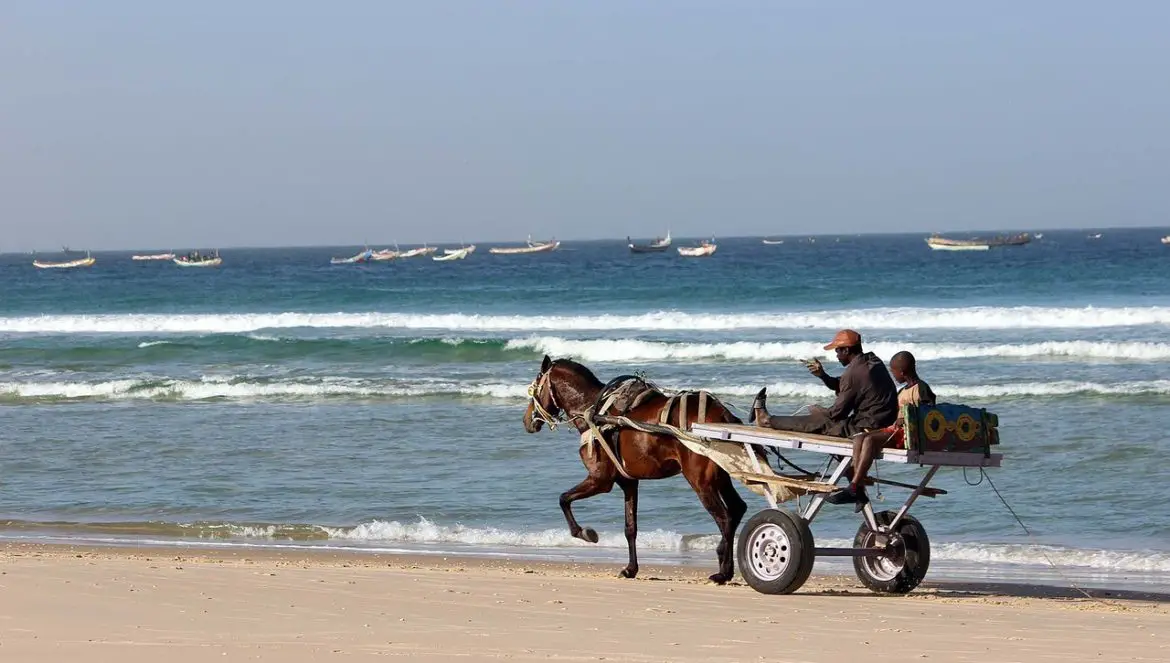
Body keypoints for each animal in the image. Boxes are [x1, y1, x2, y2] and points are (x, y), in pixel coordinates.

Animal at [524, 355, 748, 584]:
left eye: (534, 389)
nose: (527, 420)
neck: (594, 410)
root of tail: (722, 415)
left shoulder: (599, 480)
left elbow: (563, 499)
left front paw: (584, 532)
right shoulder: (628, 482)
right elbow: (630, 528)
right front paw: (631, 568)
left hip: (700, 481)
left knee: (724, 518)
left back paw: (723, 571)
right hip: (720, 476)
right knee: (737, 509)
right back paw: (724, 560)